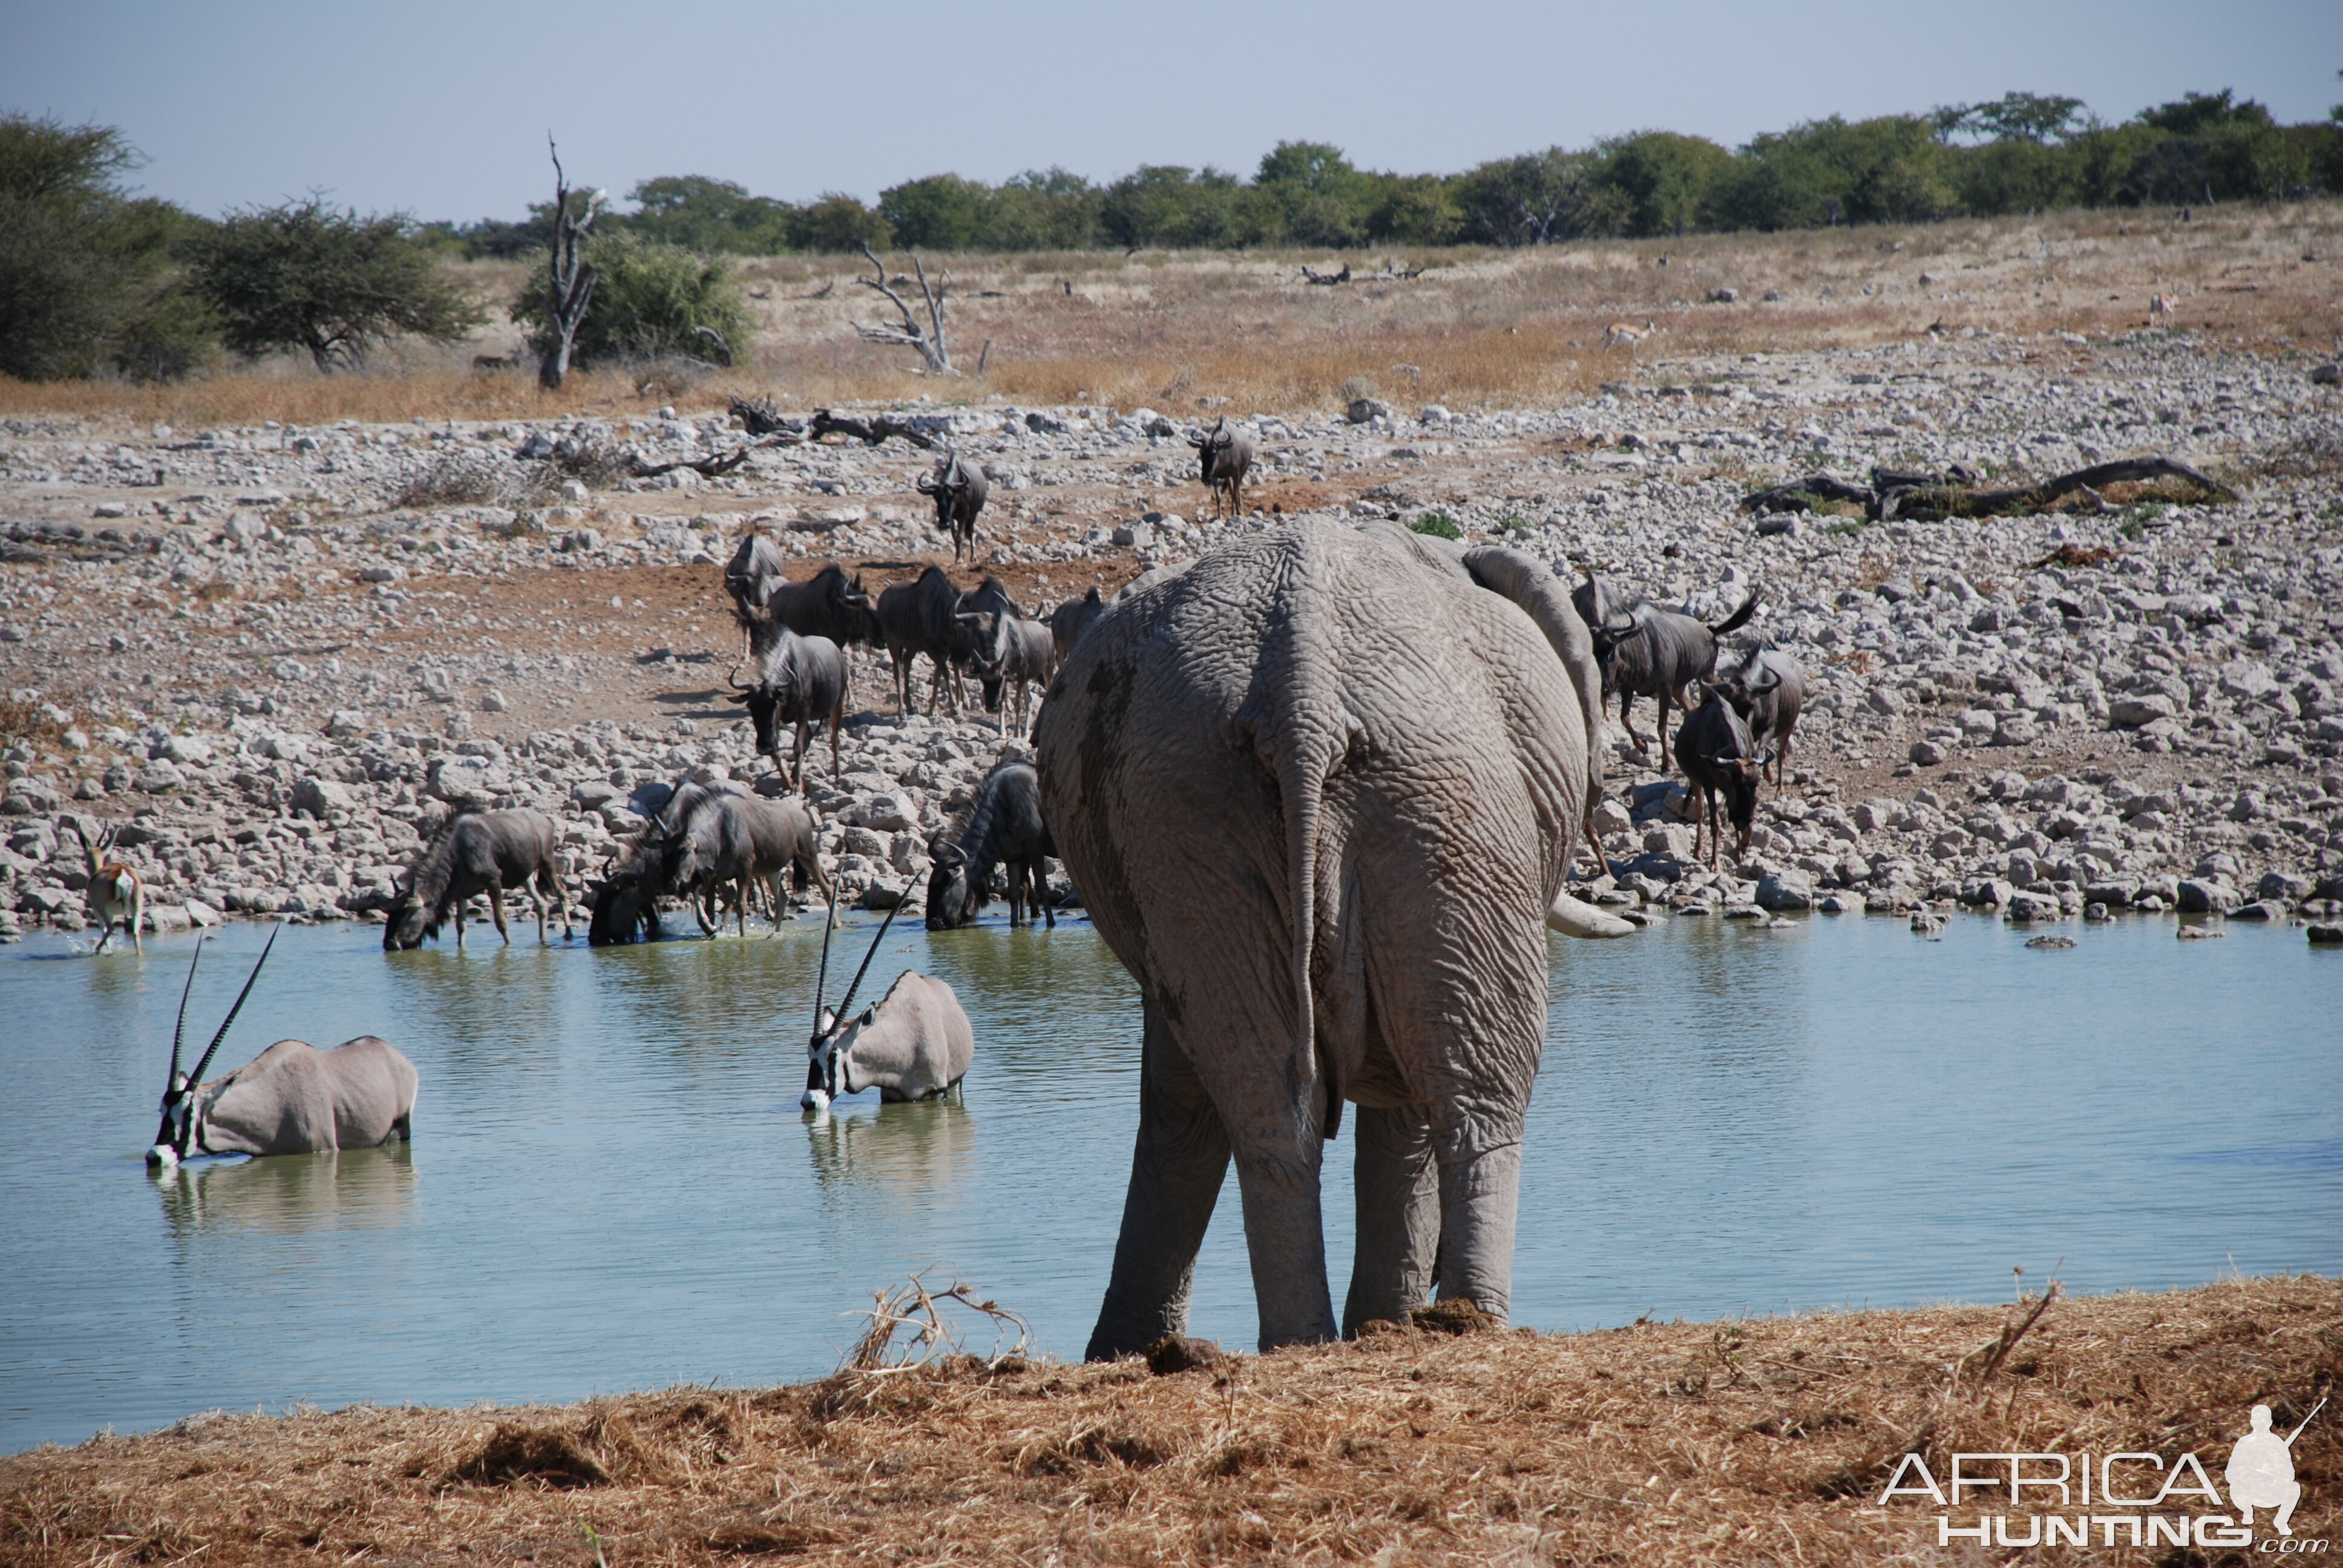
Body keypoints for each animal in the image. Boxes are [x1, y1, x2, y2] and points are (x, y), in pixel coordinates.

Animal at [1035, 520, 1621, 1350]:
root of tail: (1300, 697)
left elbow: (1184, 1097)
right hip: (1441, 801)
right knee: (1475, 1091)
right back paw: (1460, 1327)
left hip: (1193, 813)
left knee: (1272, 1104)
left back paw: (1310, 1342)